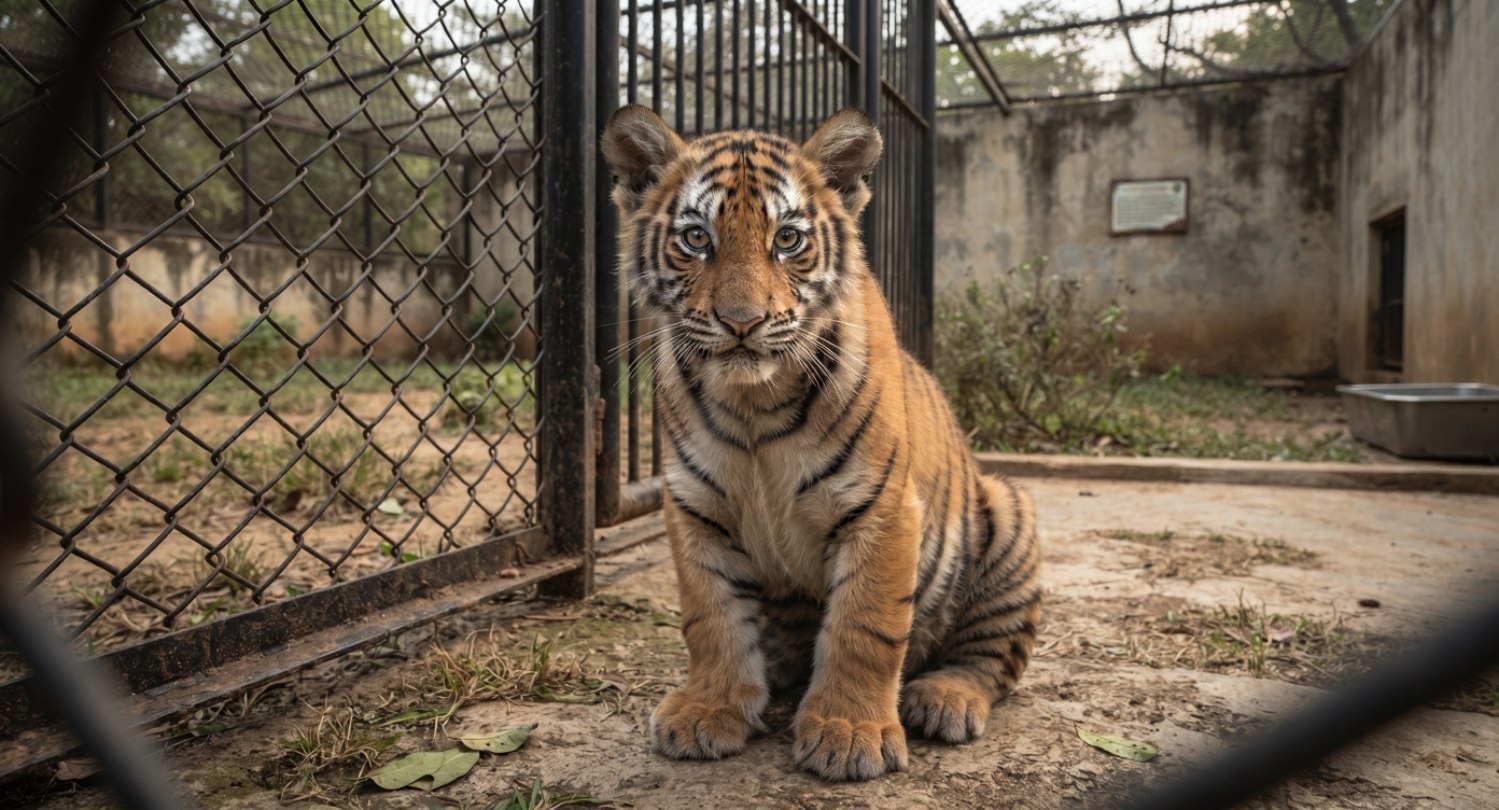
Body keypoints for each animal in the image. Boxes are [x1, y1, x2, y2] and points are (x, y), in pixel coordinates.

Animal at [600, 105, 1042, 782]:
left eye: (788, 240)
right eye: (696, 238)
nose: (742, 322)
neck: (753, 405)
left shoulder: (881, 509)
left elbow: (866, 627)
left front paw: (849, 734)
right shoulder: (696, 507)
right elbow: (711, 616)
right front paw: (708, 709)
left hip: (1007, 511)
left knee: (992, 659)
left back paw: (944, 698)